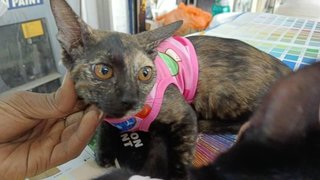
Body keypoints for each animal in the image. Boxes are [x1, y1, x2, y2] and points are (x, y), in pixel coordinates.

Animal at [50, 0, 292, 179]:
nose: (131, 99)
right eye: (104, 71)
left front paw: (178, 174)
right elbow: (104, 125)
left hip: (219, 95)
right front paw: (104, 150)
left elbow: (182, 154)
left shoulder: (185, 116)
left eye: (145, 73)